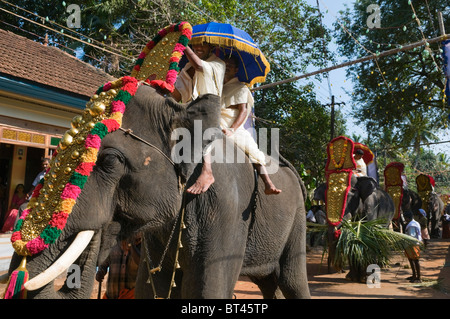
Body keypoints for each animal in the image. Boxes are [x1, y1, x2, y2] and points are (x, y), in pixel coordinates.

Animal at [5, 84, 312, 300]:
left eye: (110, 160)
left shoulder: (227, 208)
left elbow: (206, 291)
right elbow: (151, 287)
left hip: (297, 220)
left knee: (293, 282)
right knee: (271, 283)